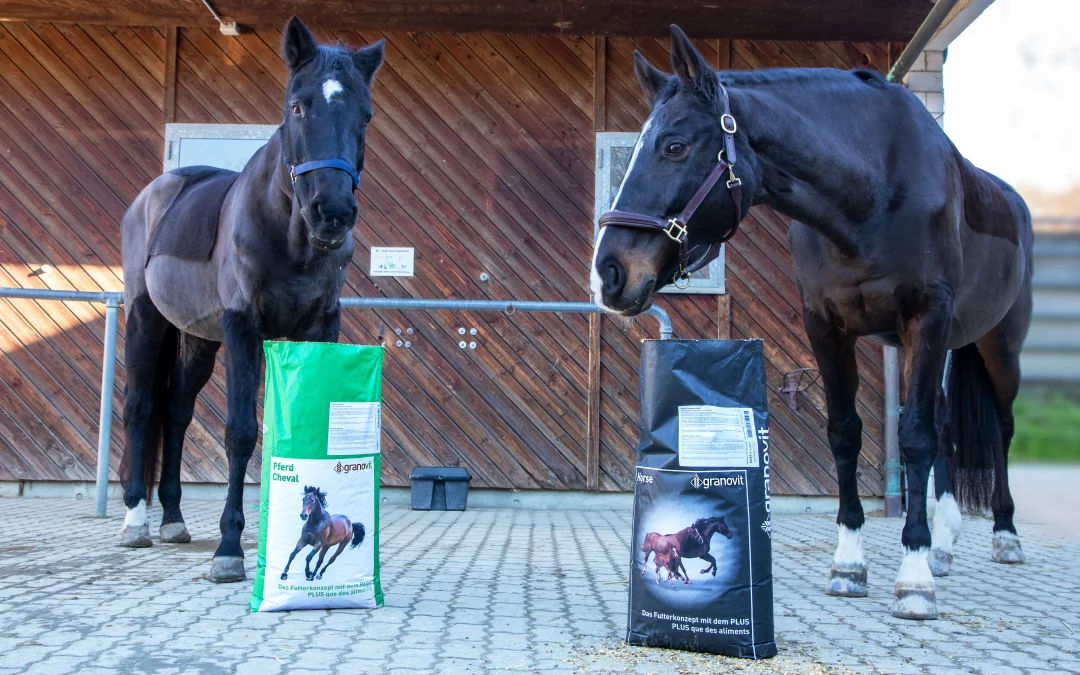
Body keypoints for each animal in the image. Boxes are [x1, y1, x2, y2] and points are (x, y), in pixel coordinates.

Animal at [117, 18, 384, 583]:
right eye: (298, 106)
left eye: (365, 114)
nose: (332, 211)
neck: (289, 234)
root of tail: (153, 194)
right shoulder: (243, 326)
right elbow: (240, 432)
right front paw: (230, 549)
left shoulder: (318, 329)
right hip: (145, 319)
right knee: (141, 407)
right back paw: (136, 521)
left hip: (198, 339)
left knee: (176, 413)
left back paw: (173, 519)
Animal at [596, 23, 1032, 617]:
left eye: (675, 146)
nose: (609, 273)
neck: (873, 190)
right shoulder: (827, 328)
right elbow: (844, 434)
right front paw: (849, 564)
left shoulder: (927, 318)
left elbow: (914, 438)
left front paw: (913, 577)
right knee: (945, 427)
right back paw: (943, 545)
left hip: (997, 345)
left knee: (999, 427)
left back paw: (1001, 536)